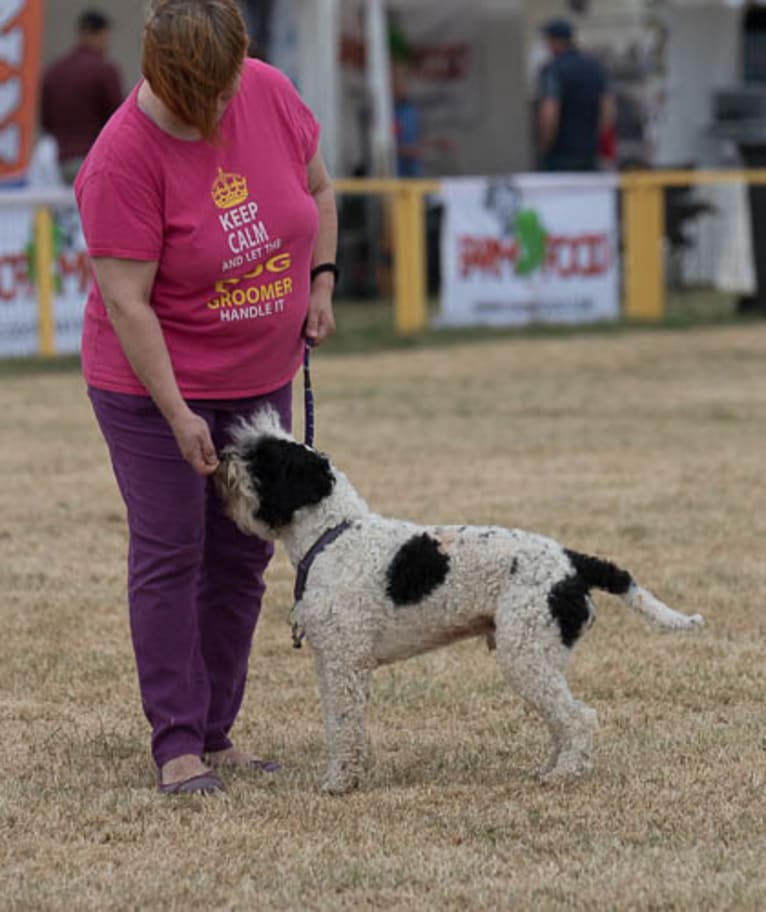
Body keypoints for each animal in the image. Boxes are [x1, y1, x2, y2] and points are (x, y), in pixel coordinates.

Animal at [213, 406, 704, 792]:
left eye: (262, 459)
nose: (220, 459)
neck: (333, 535)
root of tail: (572, 562)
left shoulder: (346, 662)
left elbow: (348, 728)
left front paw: (340, 782)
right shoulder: (331, 662)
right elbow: (337, 724)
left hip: (525, 656)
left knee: (579, 718)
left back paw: (563, 775)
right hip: (539, 657)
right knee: (563, 722)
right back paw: (551, 767)